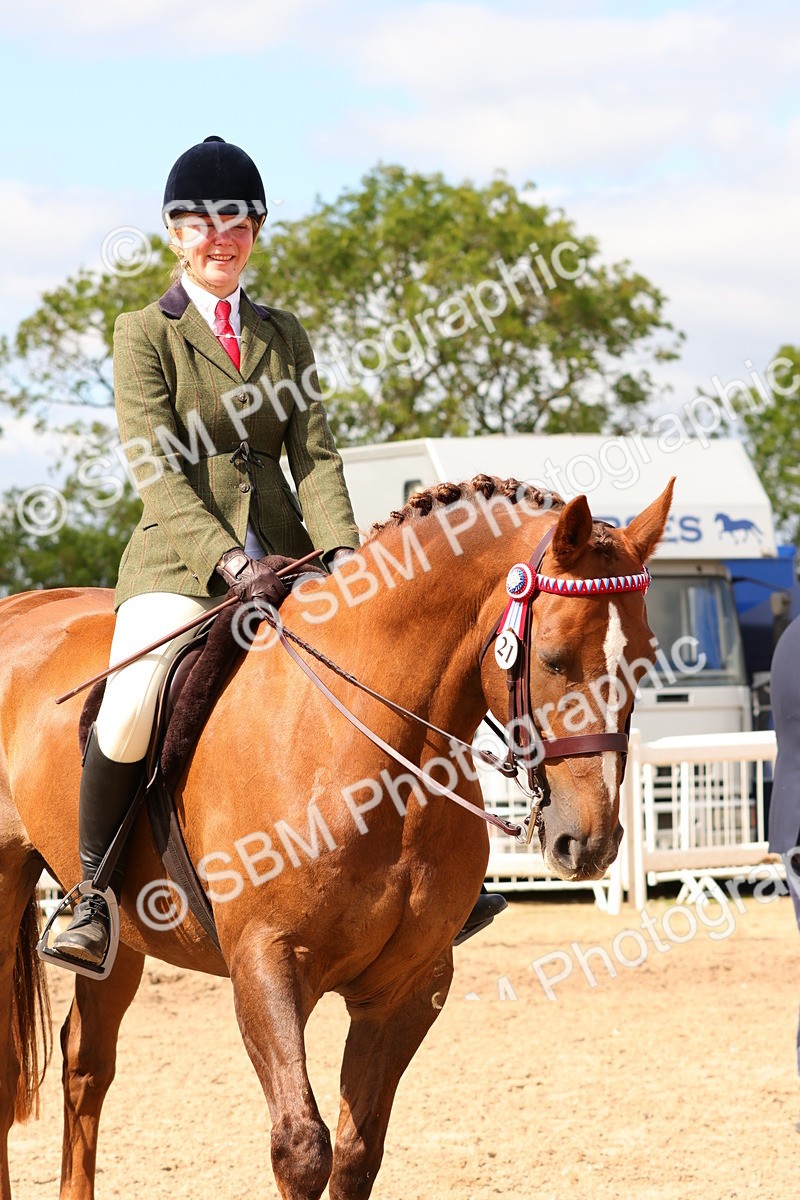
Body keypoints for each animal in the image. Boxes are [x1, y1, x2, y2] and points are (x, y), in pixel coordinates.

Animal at [0, 472, 673, 1200]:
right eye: (551, 659)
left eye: (645, 661)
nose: (591, 842)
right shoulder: (265, 963)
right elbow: (302, 1148)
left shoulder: (408, 986)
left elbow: (356, 1153)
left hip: (122, 930)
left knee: (86, 1062)